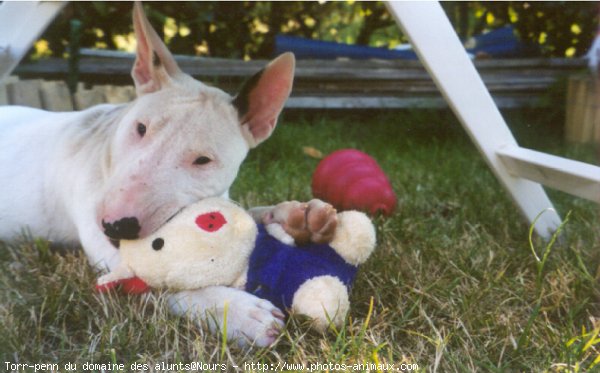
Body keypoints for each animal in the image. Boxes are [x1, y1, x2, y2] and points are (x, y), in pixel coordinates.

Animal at [0, 2, 338, 346]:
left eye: (203, 161)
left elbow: (251, 213)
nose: (115, 226)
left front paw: (301, 218)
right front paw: (238, 312)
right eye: (140, 128)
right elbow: (158, 282)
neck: (105, 143)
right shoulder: (103, 244)